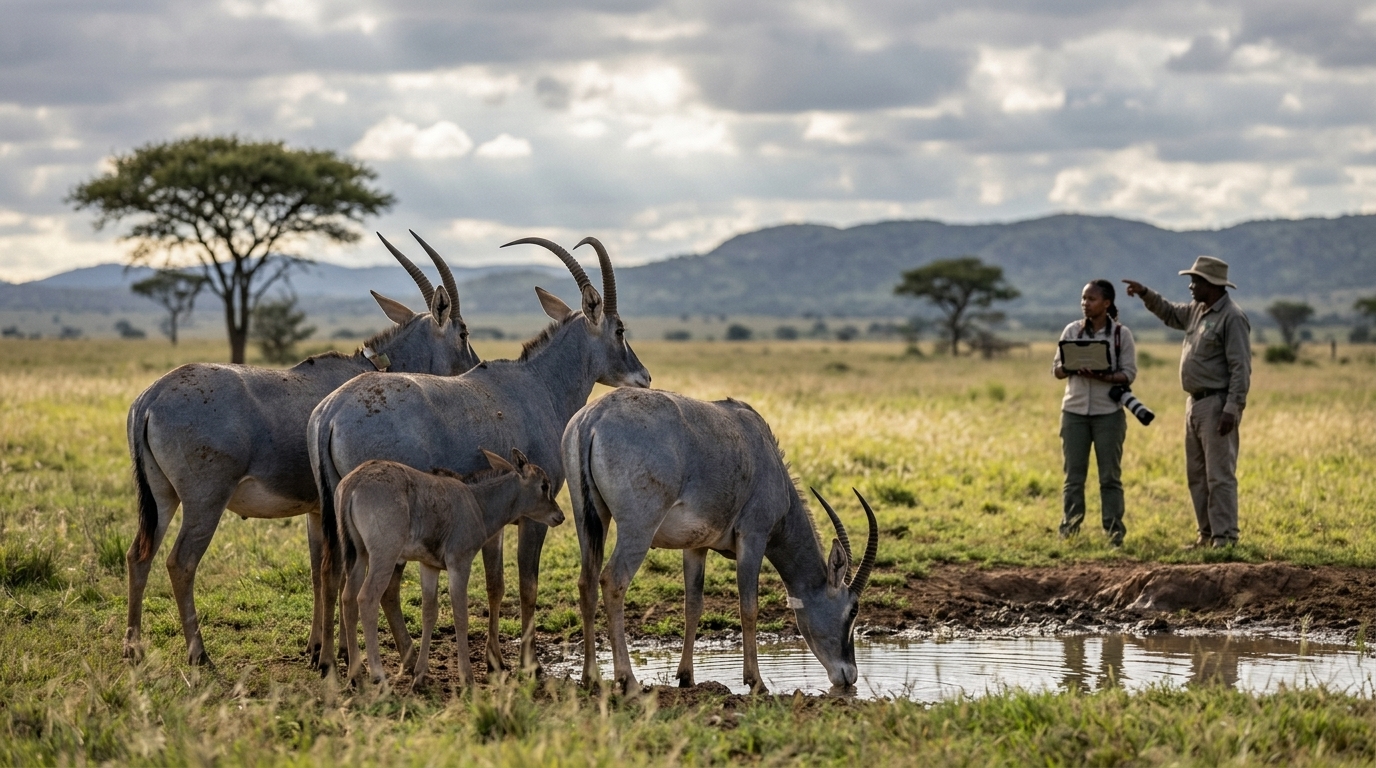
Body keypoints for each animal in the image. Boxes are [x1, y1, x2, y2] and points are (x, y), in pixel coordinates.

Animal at [125, 233, 479, 666]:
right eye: (463, 333)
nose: (475, 366)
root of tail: (151, 397)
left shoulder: (316, 510)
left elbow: (319, 572)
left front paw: (317, 646)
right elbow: (338, 573)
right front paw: (337, 650)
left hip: (162, 497)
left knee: (139, 556)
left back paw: (133, 648)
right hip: (204, 501)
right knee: (181, 562)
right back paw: (199, 653)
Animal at [337, 450, 565, 689]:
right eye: (544, 485)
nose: (559, 516)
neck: (477, 503)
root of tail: (353, 484)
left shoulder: (429, 566)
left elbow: (429, 613)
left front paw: (419, 675)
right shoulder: (459, 563)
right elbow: (461, 614)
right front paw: (467, 676)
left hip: (358, 555)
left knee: (348, 598)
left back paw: (355, 676)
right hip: (384, 555)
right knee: (366, 598)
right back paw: (378, 675)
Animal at [561, 388, 879, 694]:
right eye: (853, 609)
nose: (849, 676)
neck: (763, 450)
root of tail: (592, 418)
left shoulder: (695, 546)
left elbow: (693, 605)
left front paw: (686, 677)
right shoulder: (753, 537)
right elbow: (749, 607)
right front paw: (756, 682)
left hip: (589, 519)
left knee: (587, 582)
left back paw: (590, 678)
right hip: (638, 527)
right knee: (613, 581)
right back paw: (628, 681)